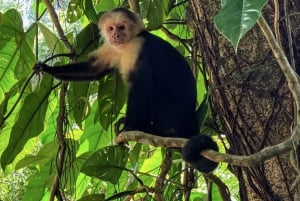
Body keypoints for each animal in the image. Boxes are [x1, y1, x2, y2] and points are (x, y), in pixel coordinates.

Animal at [33, 7, 218, 171]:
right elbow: (94, 70)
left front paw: (130, 127)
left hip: (173, 113)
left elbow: (140, 86)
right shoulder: (111, 48)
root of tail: (191, 121)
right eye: (111, 28)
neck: (125, 45)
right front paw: (47, 69)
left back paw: (149, 129)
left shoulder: (137, 47)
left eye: (122, 27)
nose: (116, 35)